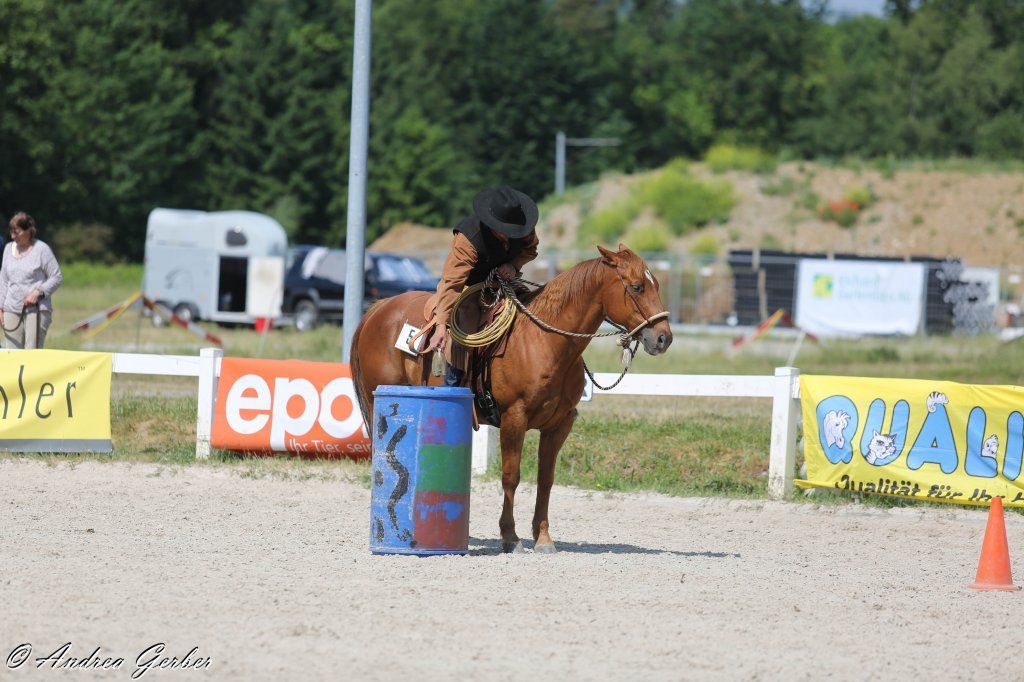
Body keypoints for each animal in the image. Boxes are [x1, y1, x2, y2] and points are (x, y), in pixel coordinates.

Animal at [350, 244, 673, 553]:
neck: (543, 342)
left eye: (656, 284)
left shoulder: (560, 425)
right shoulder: (513, 419)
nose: (663, 338)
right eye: (636, 287)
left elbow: (545, 479)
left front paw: (543, 538)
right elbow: (511, 476)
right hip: (376, 401)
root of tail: (380, 308)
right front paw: (510, 537)